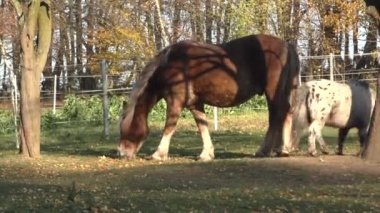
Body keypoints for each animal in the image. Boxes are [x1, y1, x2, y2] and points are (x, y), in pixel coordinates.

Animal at [119, 34, 300, 160]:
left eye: (124, 128)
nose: (121, 153)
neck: (172, 64)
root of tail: (286, 45)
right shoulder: (195, 103)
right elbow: (202, 125)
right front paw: (207, 153)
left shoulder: (175, 100)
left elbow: (170, 125)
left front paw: (159, 154)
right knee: (286, 113)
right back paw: (281, 149)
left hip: (272, 92)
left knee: (276, 115)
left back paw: (265, 150)